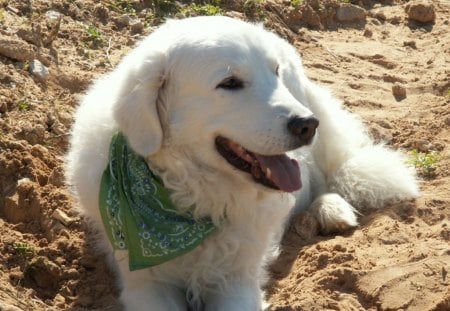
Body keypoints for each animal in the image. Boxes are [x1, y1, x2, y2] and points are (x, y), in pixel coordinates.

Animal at [66, 15, 418, 310]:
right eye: (230, 83)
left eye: (275, 73)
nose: (306, 125)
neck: (193, 202)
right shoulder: (145, 284)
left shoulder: (237, 281)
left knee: (327, 176)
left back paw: (333, 210)